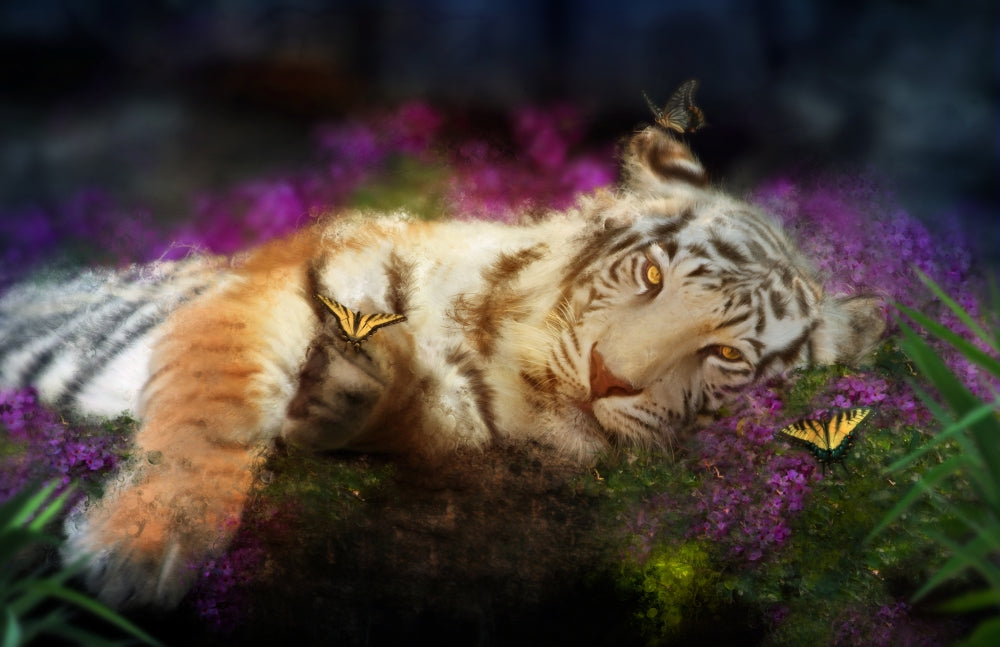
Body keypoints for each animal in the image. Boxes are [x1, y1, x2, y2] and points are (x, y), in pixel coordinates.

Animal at [0, 124, 885, 608]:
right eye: (651, 273)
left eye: (727, 353)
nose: (607, 377)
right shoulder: (275, 282)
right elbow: (212, 406)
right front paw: (139, 546)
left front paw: (350, 391)